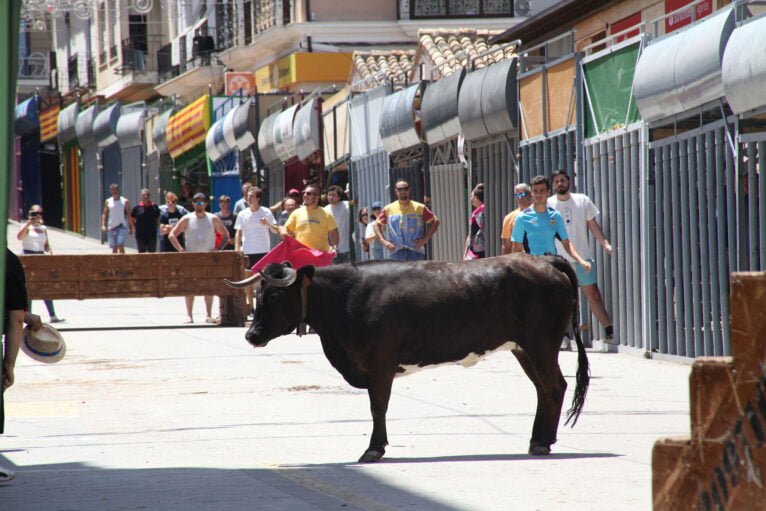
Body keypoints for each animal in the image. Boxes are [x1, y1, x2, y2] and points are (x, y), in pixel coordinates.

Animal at [225, 256, 592, 464]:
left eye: (274, 294)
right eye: (258, 294)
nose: (251, 335)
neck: (345, 298)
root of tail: (543, 261)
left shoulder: (380, 363)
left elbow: (378, 406)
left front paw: (374, 449)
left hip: (541, 344)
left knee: (554, 386)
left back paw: (542, 443)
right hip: (523, 348)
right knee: (544, 389)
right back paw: (538, 440)